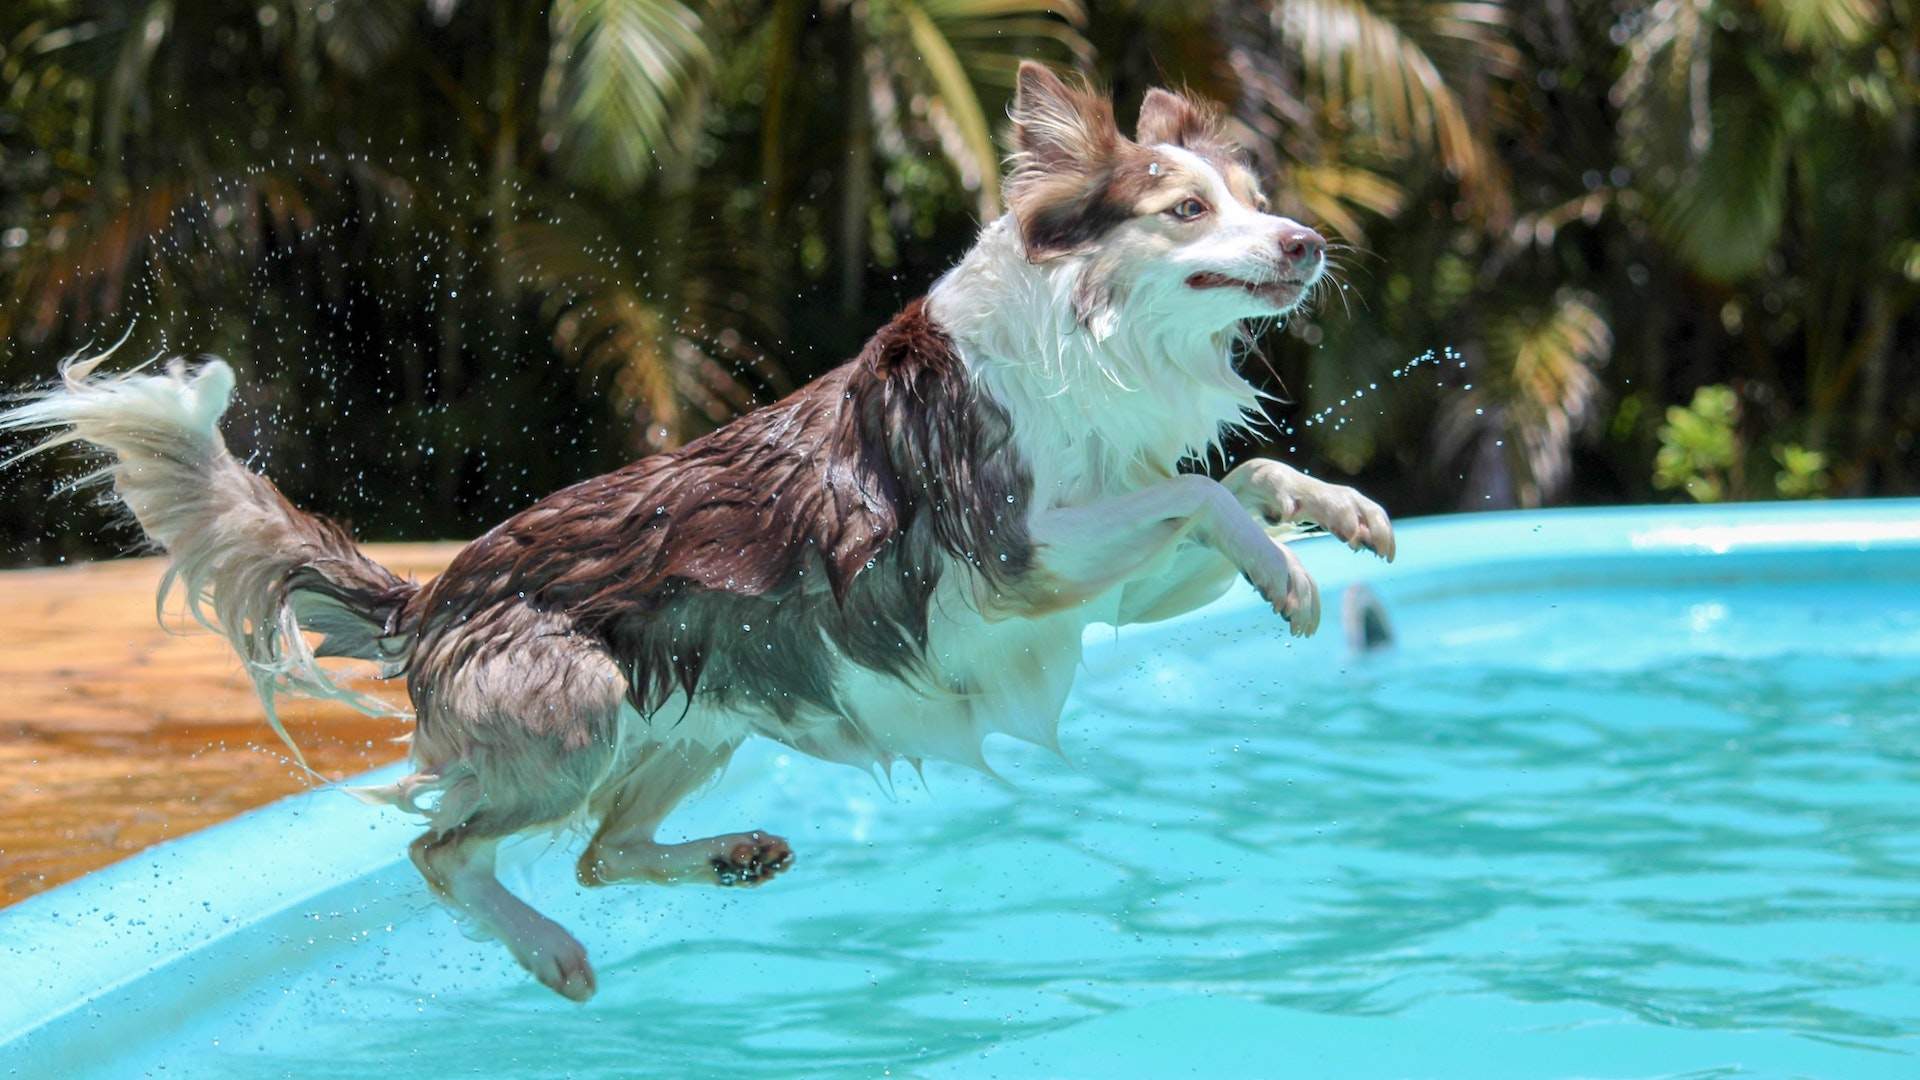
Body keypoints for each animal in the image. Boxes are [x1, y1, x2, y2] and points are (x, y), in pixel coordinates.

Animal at [0, 62, 1390, 999]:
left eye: (1256, 196)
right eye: (1185, 211)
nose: (1310, 243)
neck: (1091, 341)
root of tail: (432, 594)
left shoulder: (1098, 591)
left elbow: (1245, 473)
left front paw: (1340, 519)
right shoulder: (1016, 559)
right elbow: (1200, 490)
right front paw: (1294, 576)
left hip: (702, 715)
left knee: (600, 853)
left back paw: (731, 861)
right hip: (573, 712)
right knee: (443, 847)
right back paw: (553, 954)